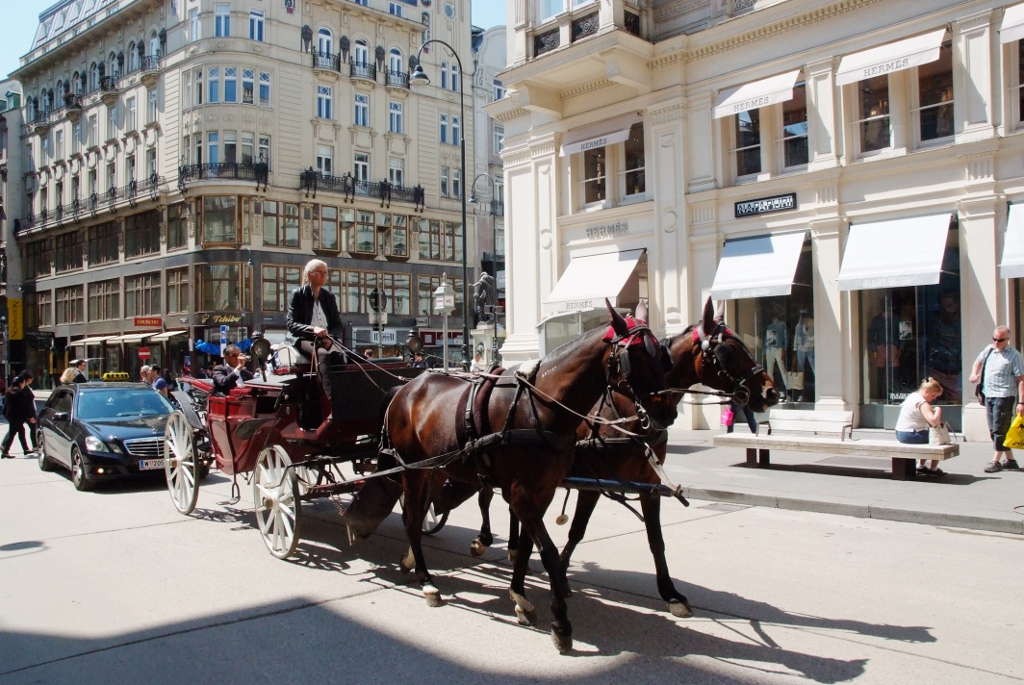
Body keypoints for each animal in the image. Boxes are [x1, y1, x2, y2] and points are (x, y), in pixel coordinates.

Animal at [382, 301, 671, 651]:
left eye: (661, 352)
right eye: (636, 353)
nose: (667, 412)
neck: (542, 406)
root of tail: (406, 387)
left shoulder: (541, 491)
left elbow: (525, 546)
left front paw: (519, 596)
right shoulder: (522, 494)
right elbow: (547, 551)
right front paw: (560, 621)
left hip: (434, 469)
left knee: (418, 512)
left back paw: (412, 561)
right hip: (413, 469)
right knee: (411, 519)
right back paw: (426, 581)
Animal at [471, 296, 774, 618]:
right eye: (728, 351)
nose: (771, 391)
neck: (629, 409)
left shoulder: (650, 484)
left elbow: (656, 539)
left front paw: (670, 592)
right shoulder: (591, 484)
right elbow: (577, 531)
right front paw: (560, 575)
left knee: (512, 507)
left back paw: (514, 548)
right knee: (487, 497)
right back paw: (485, 540)